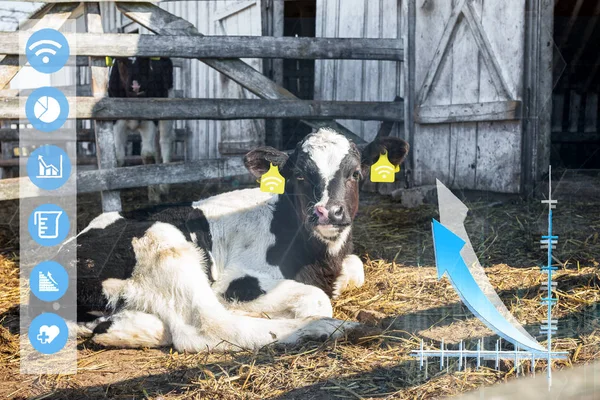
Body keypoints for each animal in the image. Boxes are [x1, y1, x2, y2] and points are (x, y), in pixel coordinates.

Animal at [38, 127, 408, 350]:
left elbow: (356, 267)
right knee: (207, 327)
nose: (328, 212)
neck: (318, 259)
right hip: (165, 246)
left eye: (355, 173)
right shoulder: (236, 282)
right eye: (300, 176)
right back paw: (329, 328)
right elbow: (316, 298)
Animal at [108, 56, 175, 203]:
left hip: (168, 106)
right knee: (156, 148)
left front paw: (154, 195)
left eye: (145, 60)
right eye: (121, 61)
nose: (136, 86)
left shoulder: (150, 119)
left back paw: (164, 186)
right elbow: (118, 156)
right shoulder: (116, 121)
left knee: (165, 142)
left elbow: (147, 155)